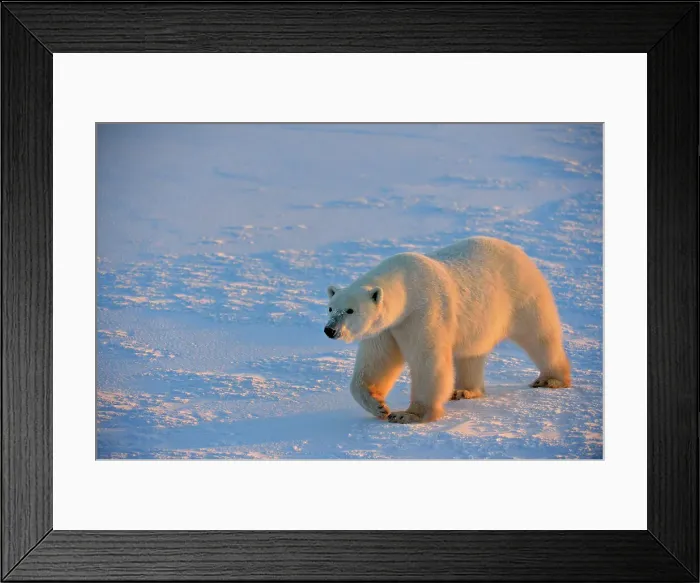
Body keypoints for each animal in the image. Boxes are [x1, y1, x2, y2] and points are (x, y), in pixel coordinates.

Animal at [324, 236, 571, 424]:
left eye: (350, 310)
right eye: (330, 308)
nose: (330, 330)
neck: (407, 286)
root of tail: (518, 251)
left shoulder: (423, 312)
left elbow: (428, 360)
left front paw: (409, 414)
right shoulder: (388, 328)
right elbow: (376, 362)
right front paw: (378, 405)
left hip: (522, 296)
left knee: (540, 336)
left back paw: (551, 379)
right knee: (471, 353)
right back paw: (464, 391)